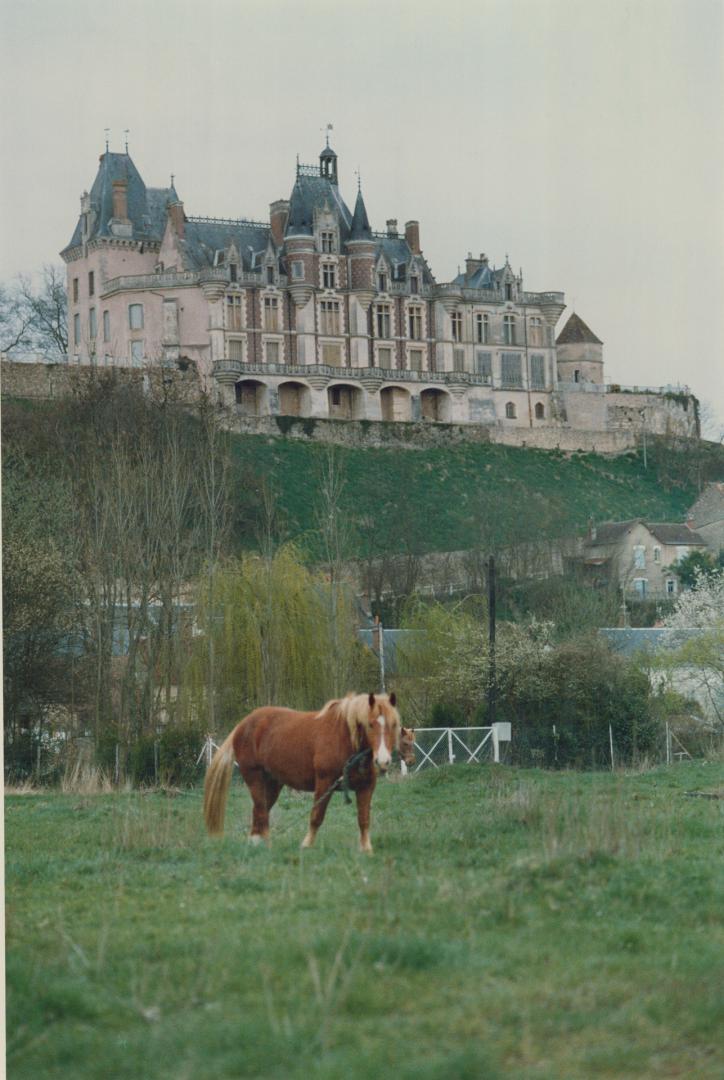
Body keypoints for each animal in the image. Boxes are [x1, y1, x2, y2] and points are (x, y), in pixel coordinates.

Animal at [204, 691, 401, 851]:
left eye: (393, 725)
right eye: (370, 724)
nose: (383, 761)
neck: (345, 739)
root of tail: (242, 725)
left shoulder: (366, 787)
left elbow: (364, 819)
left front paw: (366, 849)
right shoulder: (325, 783)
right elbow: (316, 816)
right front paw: (306, 845)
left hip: (272, 783)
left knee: (260, 812)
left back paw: (255, 844)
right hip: (254, 777)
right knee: (261, 811)